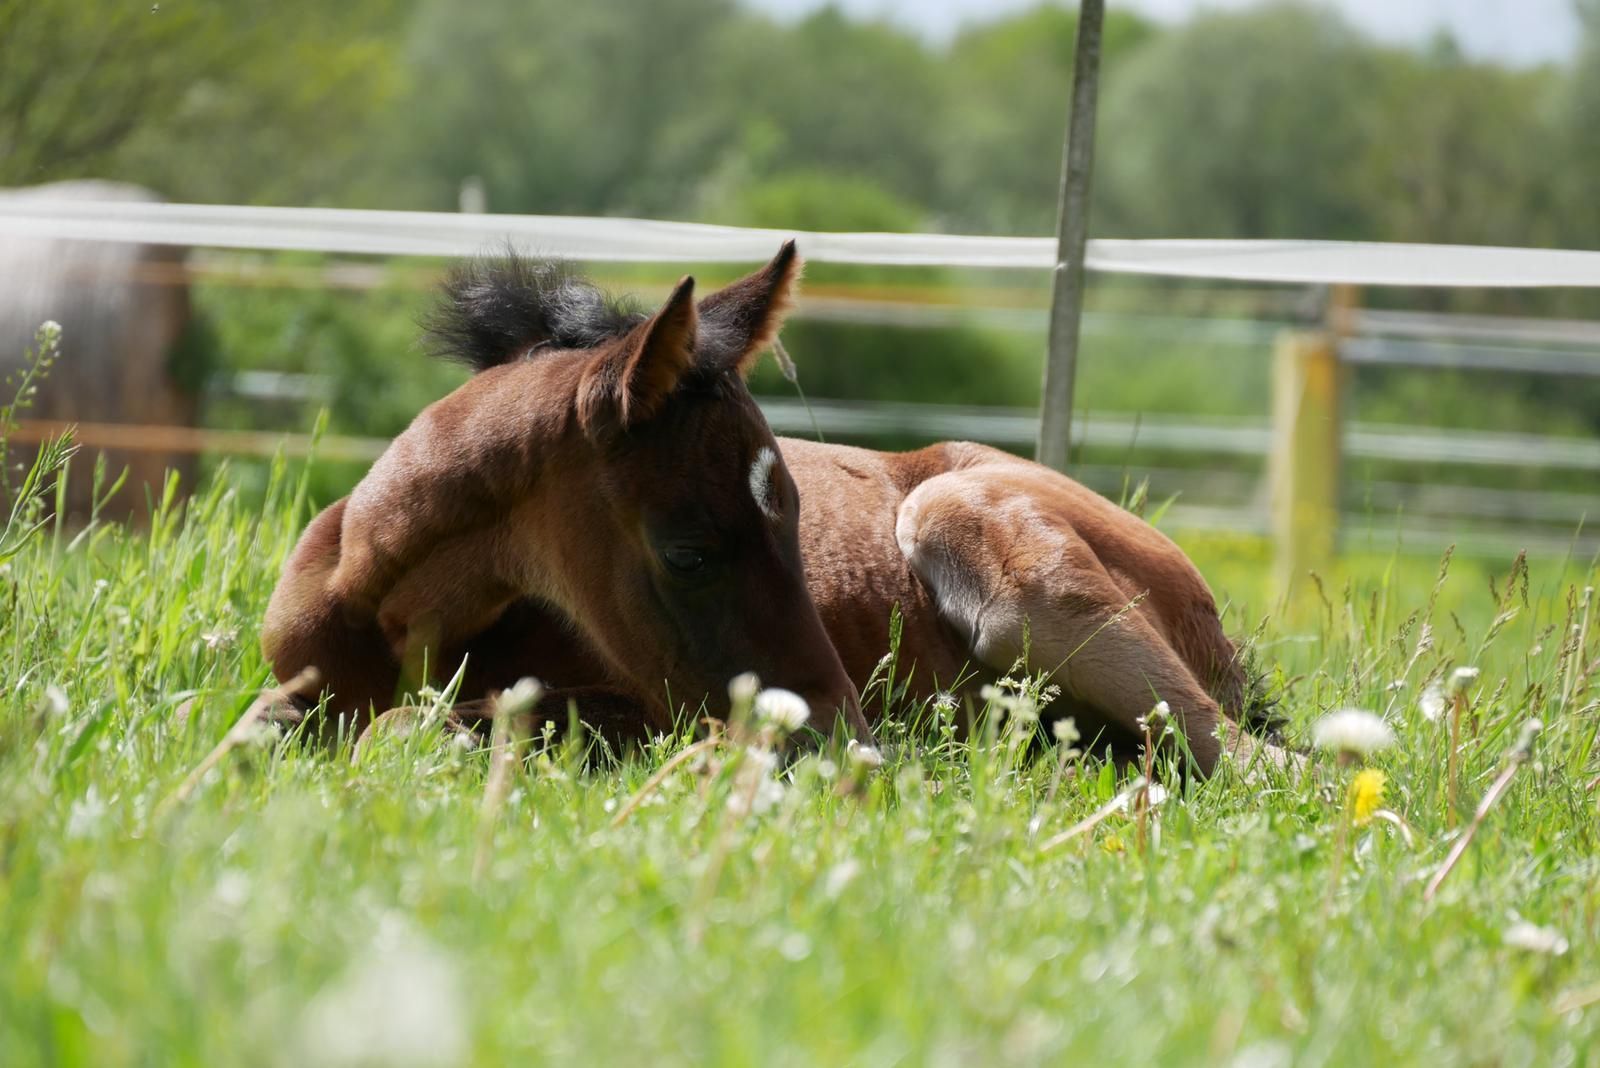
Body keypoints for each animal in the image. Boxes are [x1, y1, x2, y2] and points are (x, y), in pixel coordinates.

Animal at [262, 243, 1267, 773]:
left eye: (795, 523)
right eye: (689, 552)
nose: (842, 741)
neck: (385, 602)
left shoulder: (636, 709)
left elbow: (429, 722)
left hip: (976, 536)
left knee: (1253, 760)